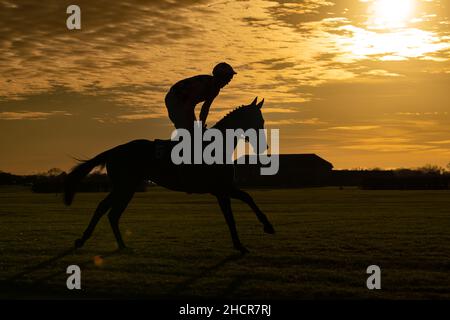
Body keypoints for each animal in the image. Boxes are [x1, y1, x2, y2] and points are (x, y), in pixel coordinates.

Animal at [63, 96, 274, 254]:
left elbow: (239, 207)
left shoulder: (222, 190)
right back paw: (86, 240)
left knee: (111, 213)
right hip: (125, 186)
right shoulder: (221, 188)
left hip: (127, 187)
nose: (264, 146)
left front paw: (248, 239)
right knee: (105, 209)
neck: (217, 146)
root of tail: (114, 150)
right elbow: (241, 204)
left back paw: (119, 245)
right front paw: (260, 231)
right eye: (258, 121)